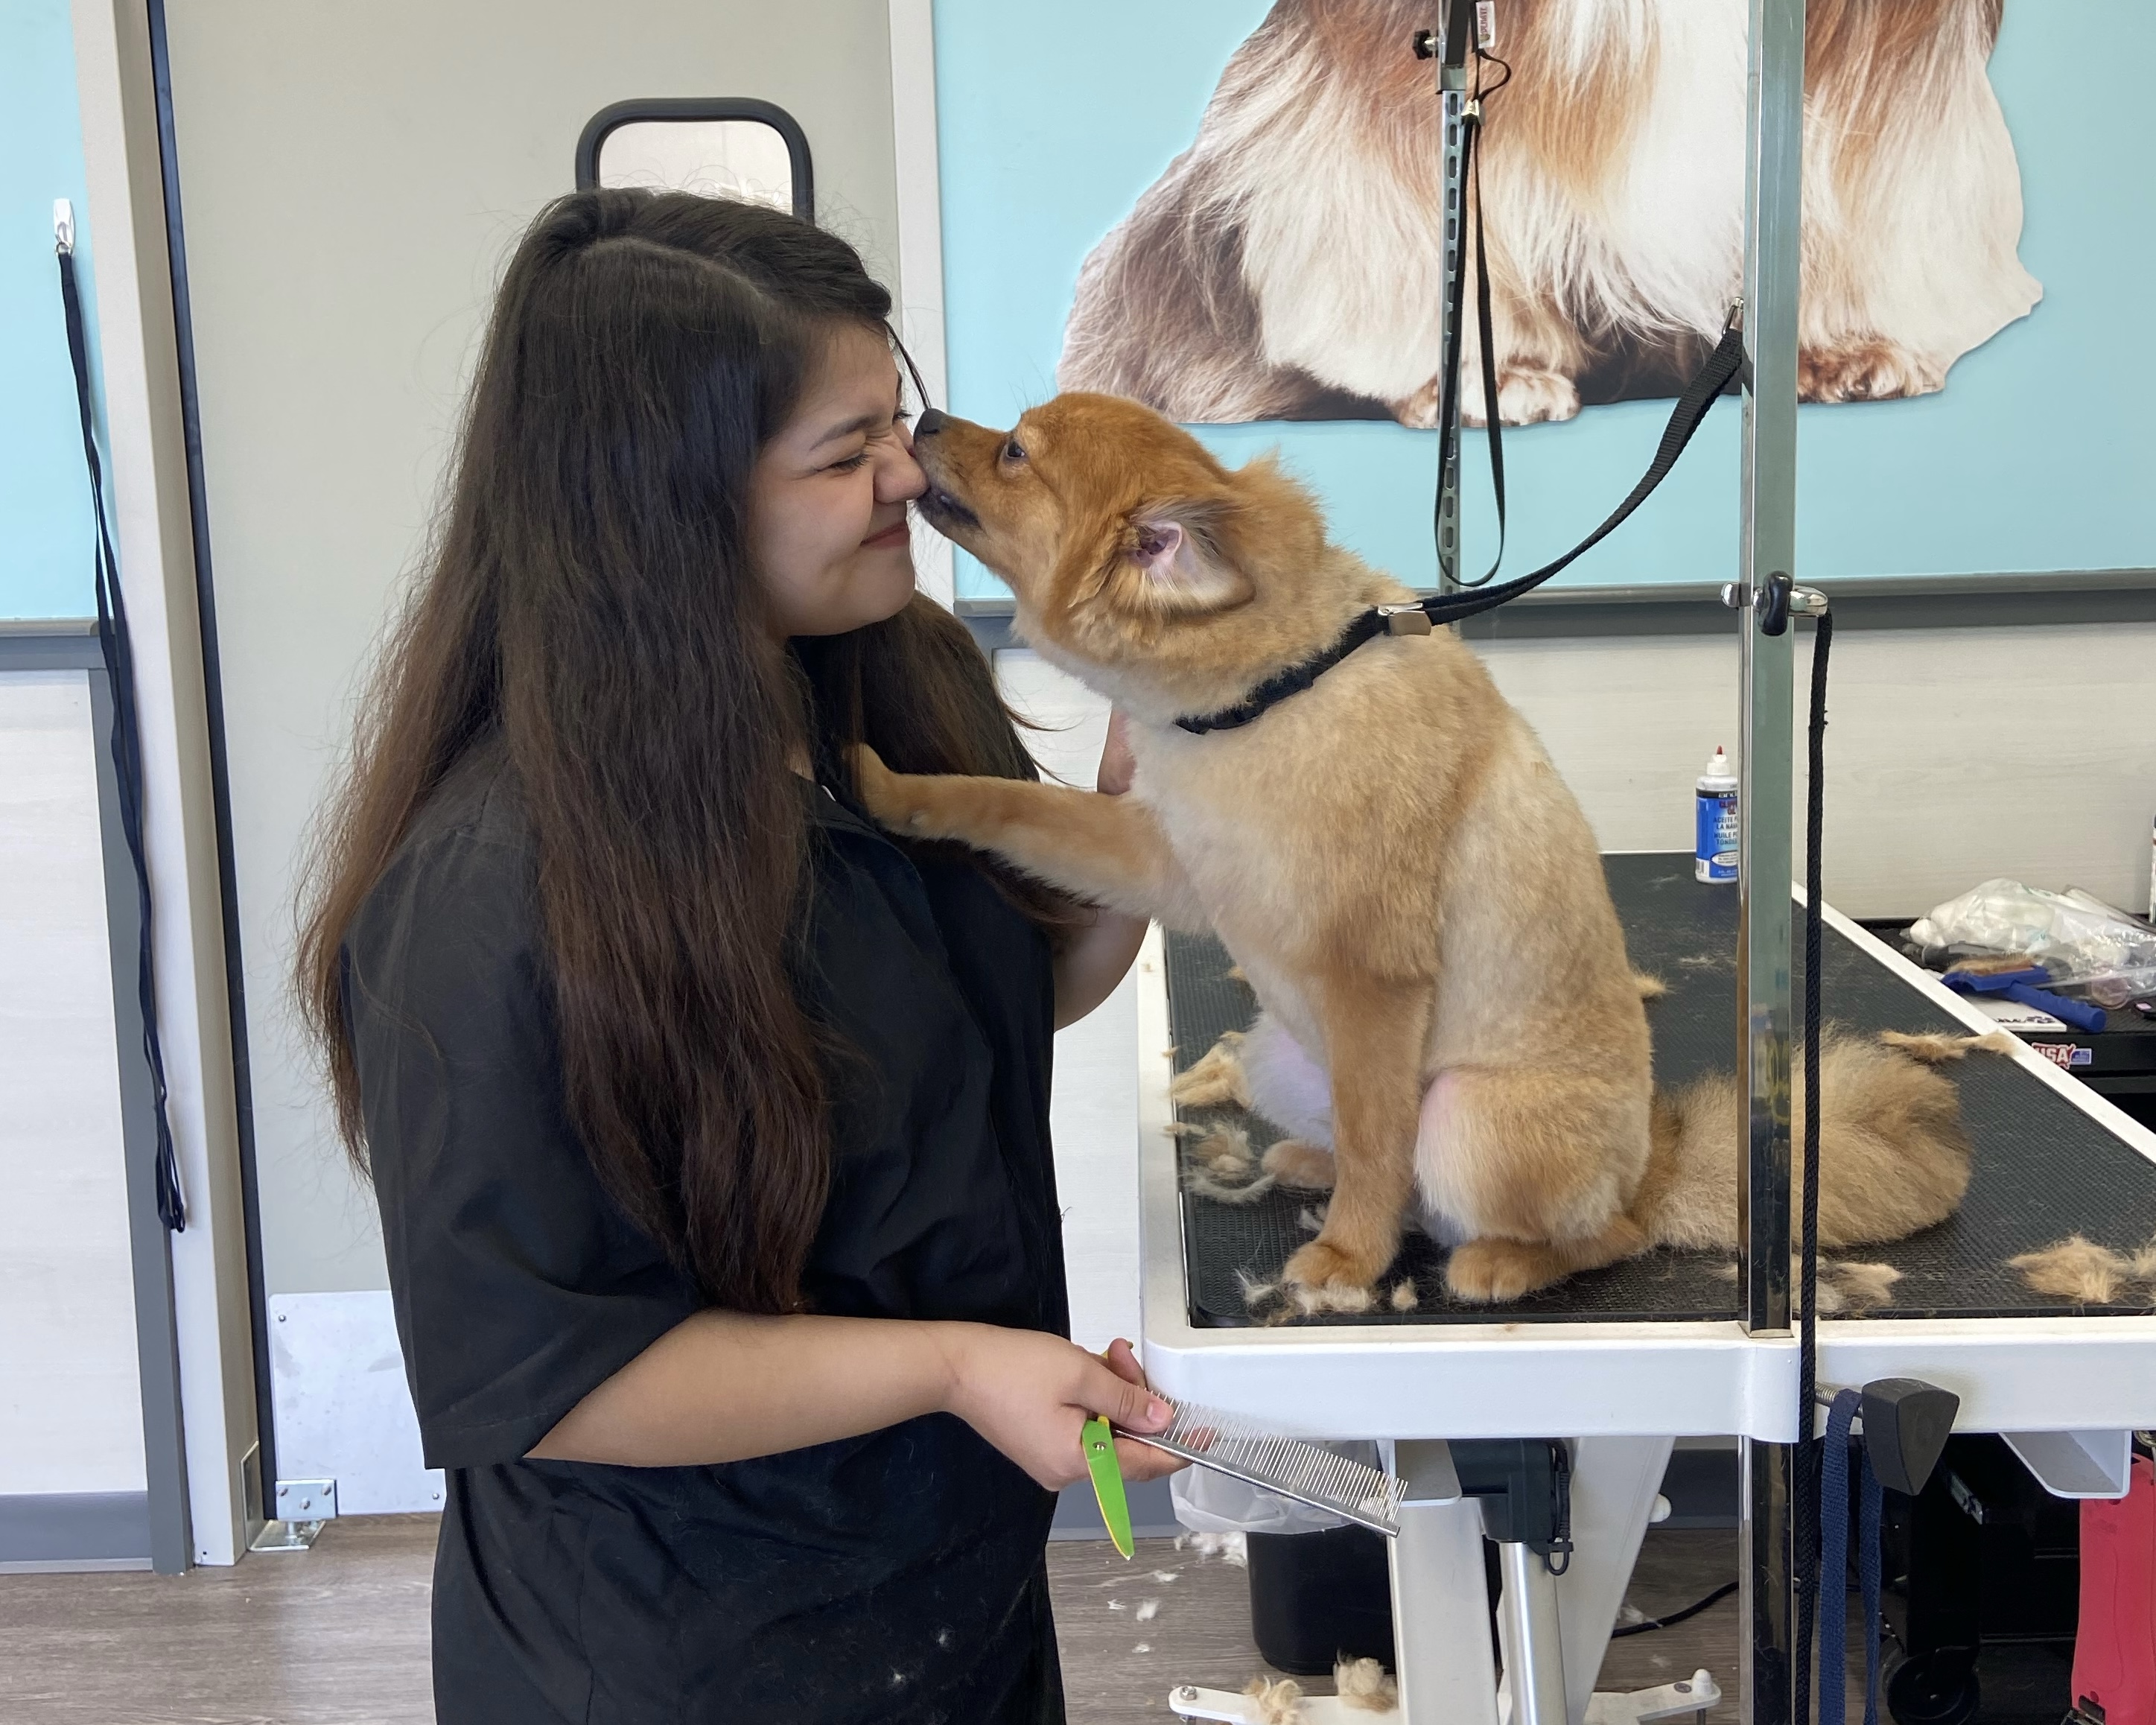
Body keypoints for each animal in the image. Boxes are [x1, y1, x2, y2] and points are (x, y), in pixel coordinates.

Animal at [845, 394, 1983, 1311]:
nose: (926, 417)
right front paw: (889, 790)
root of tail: (1651, 1166)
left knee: (1582, 1227)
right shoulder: (1166, 857)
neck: (1274, 695)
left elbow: (1375, 1134)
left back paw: (1496, 1259)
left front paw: (1349, 1260)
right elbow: (1003, 806)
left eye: (1015, 453)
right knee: (1378, 1160)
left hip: (1469, 1118)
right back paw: (1314, 1163)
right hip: (1275, 1051)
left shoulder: (1372, 975)